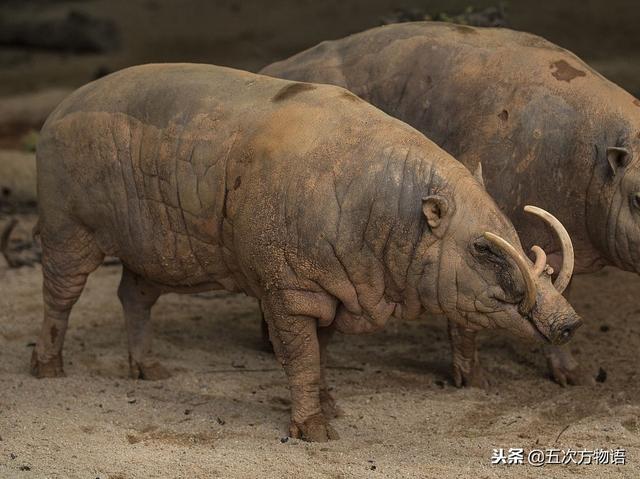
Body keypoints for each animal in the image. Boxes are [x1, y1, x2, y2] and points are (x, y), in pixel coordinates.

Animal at [31, 63, 580, 442]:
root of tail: (55, 111)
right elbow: (300, 355)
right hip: (67, 226)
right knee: (61, 296)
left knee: (133, 294)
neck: (379, 215)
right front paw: (315, 430)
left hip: (156, 251)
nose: (569, 322)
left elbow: (324, 351)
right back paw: (48, 369)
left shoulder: (341, 288)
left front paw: (330, 405)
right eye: (483, 248)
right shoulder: (288, 287)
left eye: (511, 234)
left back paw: (149, 370)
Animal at [260, 21, 640, 386]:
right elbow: (467, 313)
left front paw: (572, 376)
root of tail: (272, 67)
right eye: (637, 197)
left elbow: (559, 291)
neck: (586, 166)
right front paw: (474, 381)